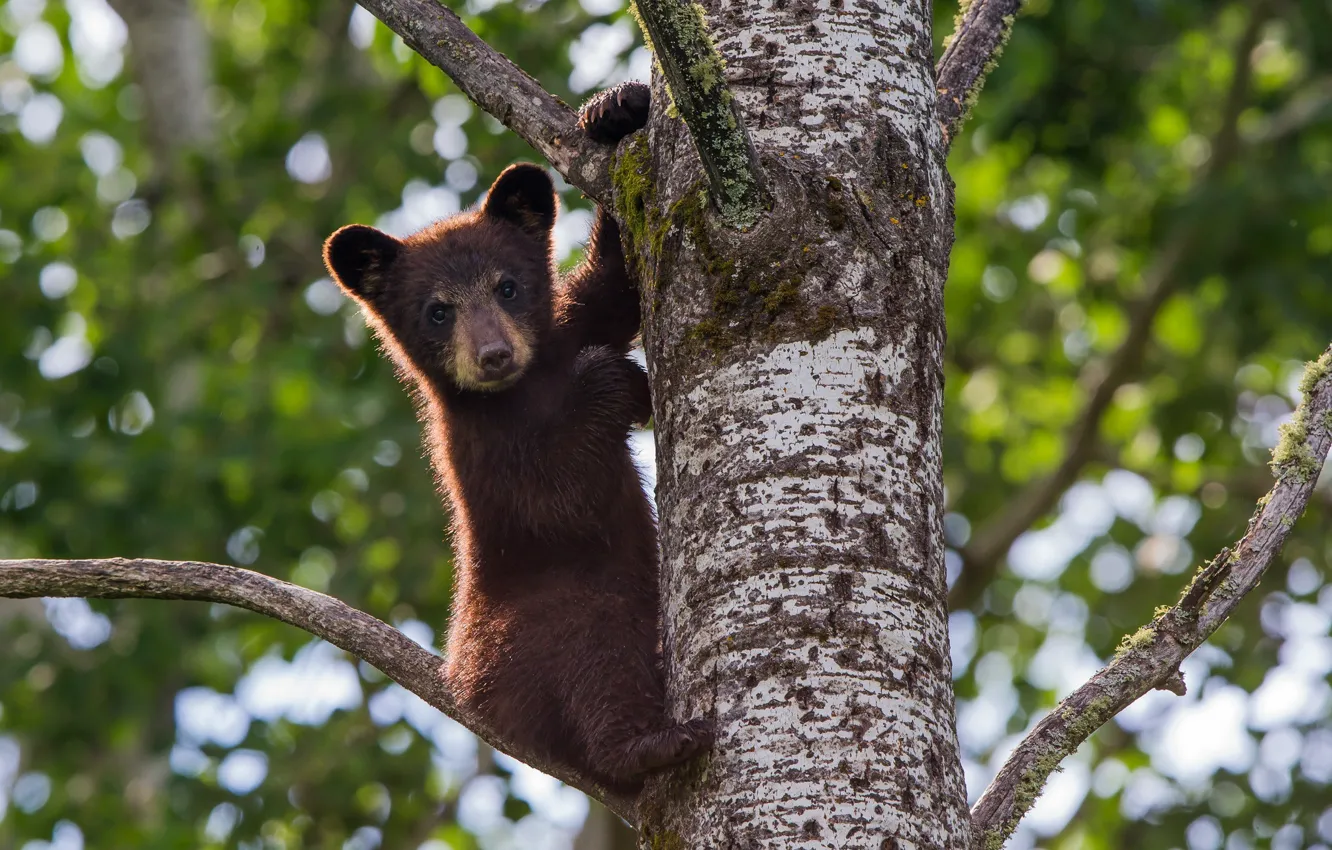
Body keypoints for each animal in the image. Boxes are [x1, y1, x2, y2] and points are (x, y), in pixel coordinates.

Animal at [321, 81, 712, 791]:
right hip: (545, 627)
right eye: (438, 311)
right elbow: (559, 493)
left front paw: (617, 110)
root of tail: (473, 695)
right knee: (599, 663)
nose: (495, 355)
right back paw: (651, 744)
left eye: (508, 286)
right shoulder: (480, 446)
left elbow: (616, 287)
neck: (526, 388)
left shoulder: (563, 331)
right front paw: (615, 382)